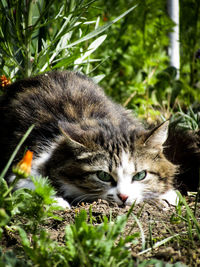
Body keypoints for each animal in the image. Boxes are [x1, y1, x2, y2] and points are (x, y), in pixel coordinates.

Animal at [0, 71, 197, 209]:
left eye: (140, 175)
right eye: (103, 176)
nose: (123, 197)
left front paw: (166, 195)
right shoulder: (23, 165)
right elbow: (31, 185)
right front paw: (57, 201)